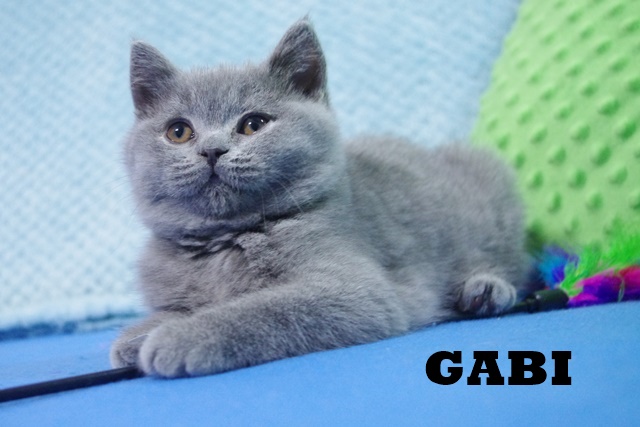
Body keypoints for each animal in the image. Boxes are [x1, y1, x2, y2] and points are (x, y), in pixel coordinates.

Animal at [110, 18, 531, 378]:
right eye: (178, 132)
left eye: (253, 124)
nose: (212, 150)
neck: (225, 243)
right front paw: (136, 336)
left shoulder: (359, 291)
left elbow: (263, 309)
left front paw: (179, 338)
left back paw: (484, 290)